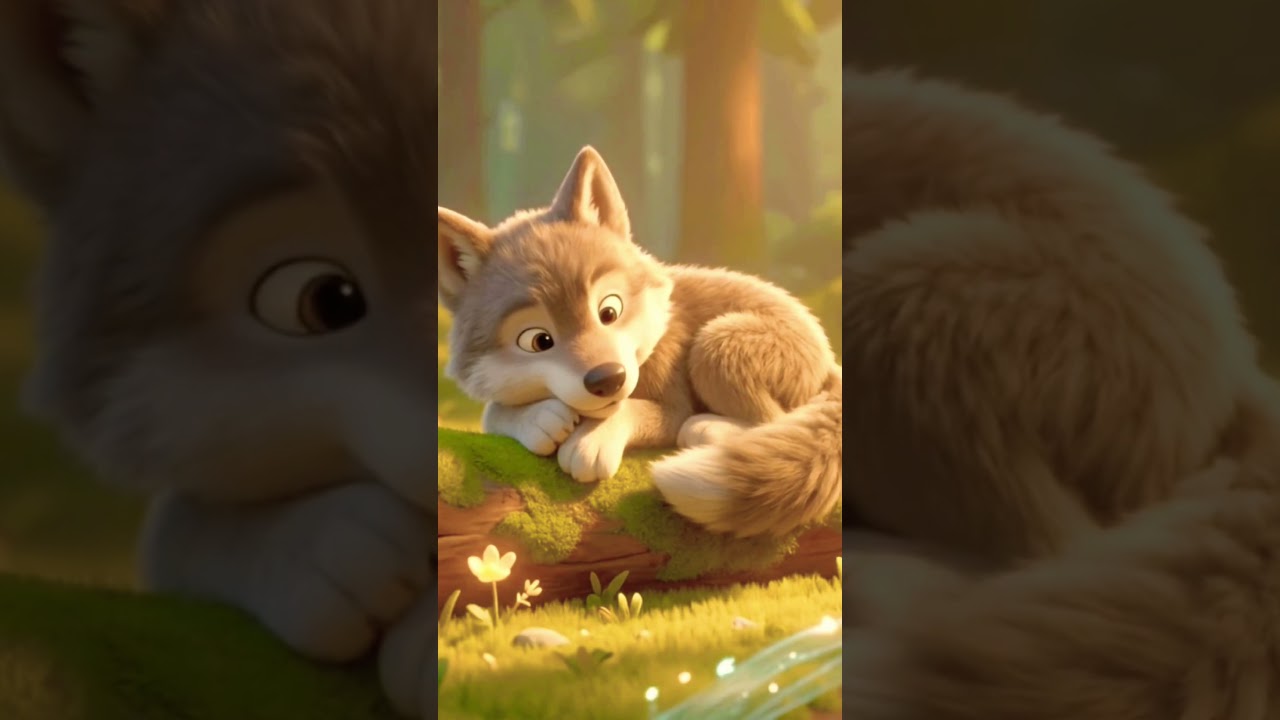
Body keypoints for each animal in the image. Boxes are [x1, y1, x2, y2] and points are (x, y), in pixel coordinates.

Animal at [438, 146, 842, 538]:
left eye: (609, 311)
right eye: (539, 341)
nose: (607, 378)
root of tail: (826, 356)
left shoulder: (673, 400)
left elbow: (630, 408)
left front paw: (592, 440)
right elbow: (493, 412)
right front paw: (539, 420)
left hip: (717, 343)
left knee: (771, 419)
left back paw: (708, 429)